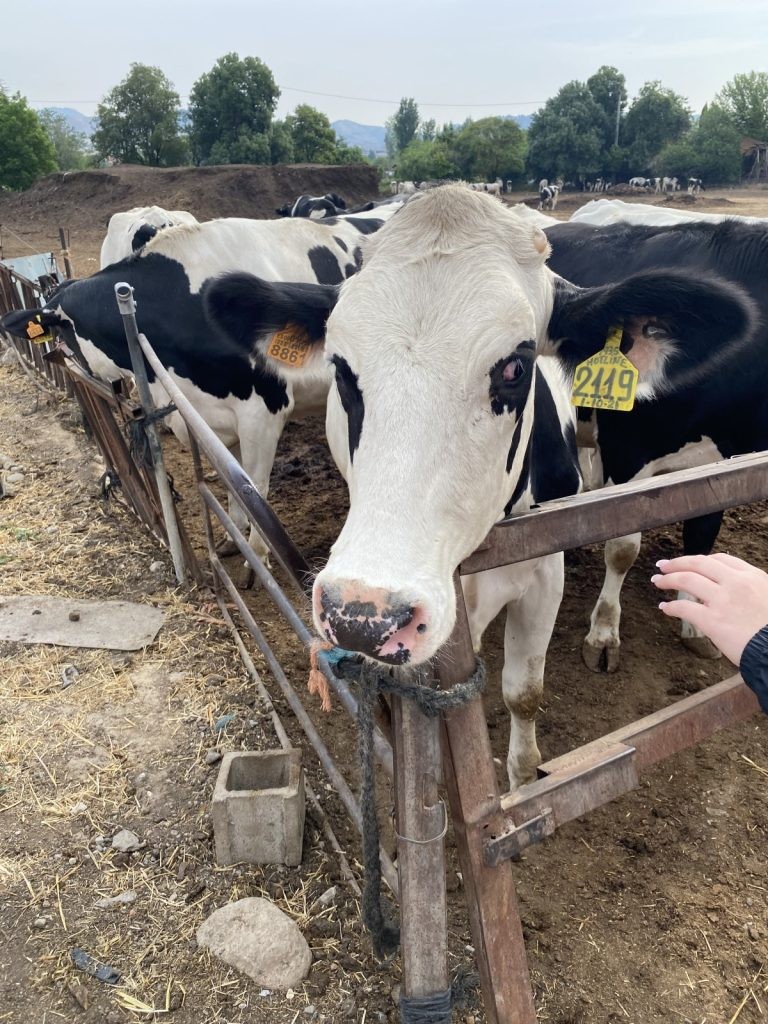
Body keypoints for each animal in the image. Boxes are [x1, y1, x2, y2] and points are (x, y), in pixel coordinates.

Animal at [4, 207, 403, 561]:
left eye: (63, 332)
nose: (62, 368)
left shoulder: (263, 412)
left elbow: (256, 489)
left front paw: (257, 557)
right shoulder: (204, 416)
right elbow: (232, 485)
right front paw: (231, 540)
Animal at [544, 218, 765, 671]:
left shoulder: (718, 463)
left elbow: (702, 537)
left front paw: (696, 623)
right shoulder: (628, 452)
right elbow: (622, 546)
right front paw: (603, 635)